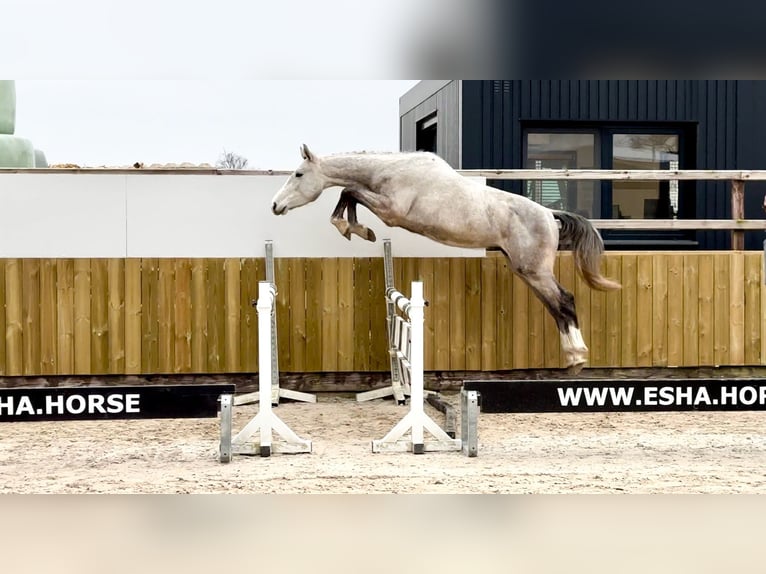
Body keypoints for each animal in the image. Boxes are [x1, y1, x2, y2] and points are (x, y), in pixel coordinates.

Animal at [272, 144, 620, 374]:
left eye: (298, 174)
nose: (275, 205)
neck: (392, 171)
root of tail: (549, 214)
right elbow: (349, 192)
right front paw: (355, 229)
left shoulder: (391, 211)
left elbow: (350, 191)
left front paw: (352, 228)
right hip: (526, 271)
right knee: (556, 307)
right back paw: (572, 358)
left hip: (534, 271)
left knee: (566, 301)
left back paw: (578, 358)